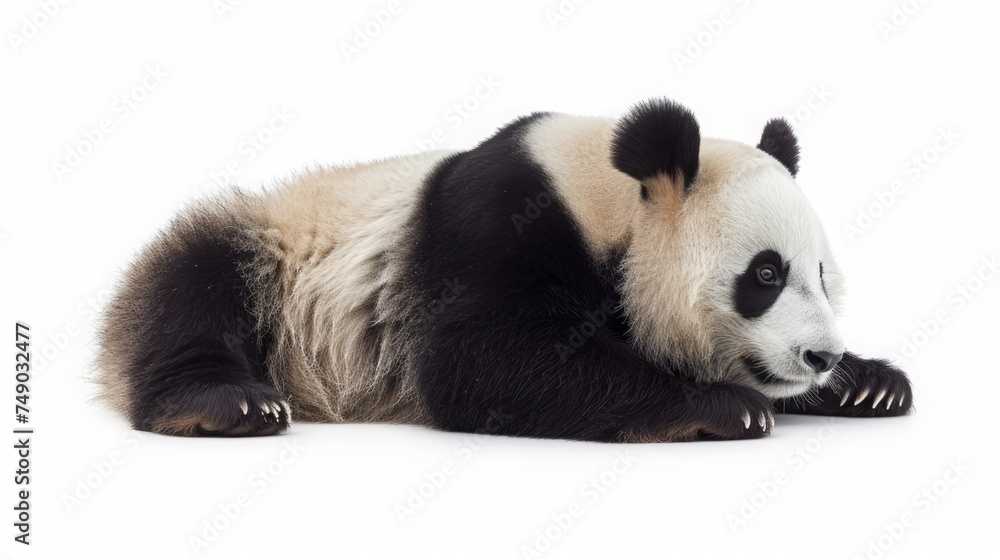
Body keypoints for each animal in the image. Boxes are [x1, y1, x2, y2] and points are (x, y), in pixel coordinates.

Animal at [96, 98, 912, 442]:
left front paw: (869, 384)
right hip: (274, 253)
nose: (822, 356)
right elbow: (481, 361)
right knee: (193, 290)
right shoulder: (493, 227)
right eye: (765, 276)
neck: (609, 198)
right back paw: (228, 404)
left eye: (823, 276)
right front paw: (719, 406)